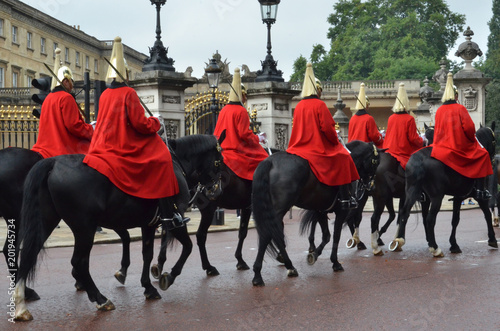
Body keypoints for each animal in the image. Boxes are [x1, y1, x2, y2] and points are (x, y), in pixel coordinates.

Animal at [12, 134, 224, 322]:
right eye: (218, 161)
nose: (217, 190)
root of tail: (54, 162)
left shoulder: (149, 224)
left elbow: (147, 254)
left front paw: (148, 287)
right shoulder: (173, 220)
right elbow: (187, 247)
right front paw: (168, 277)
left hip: (48, 221)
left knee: (30, 255)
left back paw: (21, 305)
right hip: (84, 228)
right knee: (79, 262)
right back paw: (101, 299)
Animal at [252, 141, 376, 286]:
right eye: (375, 161)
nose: (370, 186)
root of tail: (269, 161)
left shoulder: (321, 210)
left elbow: (326, 235)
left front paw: (314, 254)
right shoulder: (341, 211)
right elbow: (336, 235)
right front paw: (335, 262)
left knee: (271, 234)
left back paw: (278, 268)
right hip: (277, 211)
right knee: (269, 234)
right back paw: (268, 271)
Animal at [392, 125, 498, 256]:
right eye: (494, 141)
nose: (493, 161)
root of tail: (419, 159)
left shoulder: (457, 197)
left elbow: (455, 220)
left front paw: (454, 245)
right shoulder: (478, 197)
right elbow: (486, 214)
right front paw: (492, 239)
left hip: (412, 192)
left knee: (404, 212)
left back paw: (399, 240)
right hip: (436, 197)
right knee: (430, 219)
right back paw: (435, 248)